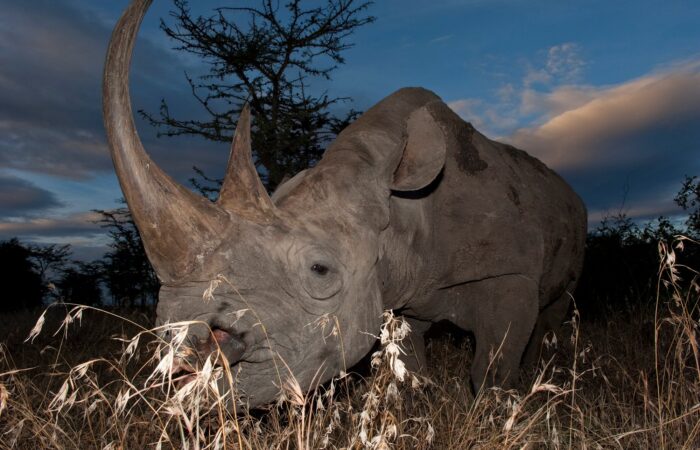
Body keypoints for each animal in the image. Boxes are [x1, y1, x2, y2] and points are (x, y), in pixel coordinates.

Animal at [103, 0, 586, 408]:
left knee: (553, 310)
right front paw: (421, 403)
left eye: (320, 270)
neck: (402, 207)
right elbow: (410, 364)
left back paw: (542, 370)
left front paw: (494, 407)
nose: (188, 347)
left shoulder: (510, 272)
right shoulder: (398, 296)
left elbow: (492, 365)